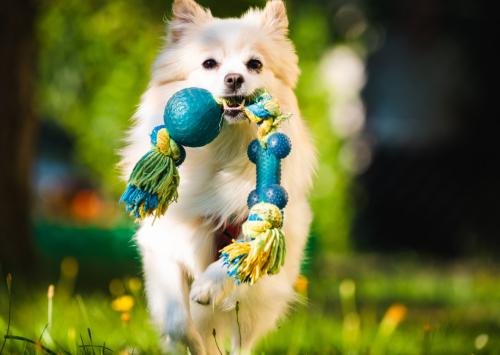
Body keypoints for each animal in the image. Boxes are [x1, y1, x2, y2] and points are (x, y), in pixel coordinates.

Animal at [120, 1, 316, 354]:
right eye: (209, 63)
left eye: (255, 64)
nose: (235, 78)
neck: (224, 147)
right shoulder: (164, 245)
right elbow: (178, 321)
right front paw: (193, 342)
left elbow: (246, 249)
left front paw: (208, 287)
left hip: (255, 309)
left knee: (242, 342)